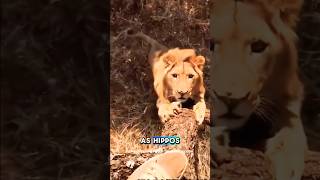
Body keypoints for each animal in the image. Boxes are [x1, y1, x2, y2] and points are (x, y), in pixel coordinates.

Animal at [210, 0, 308, 179]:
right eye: (210, 45)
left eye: (258, 46)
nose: (230, 99)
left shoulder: (290, 102)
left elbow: (292, 133)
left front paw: (287, 164)